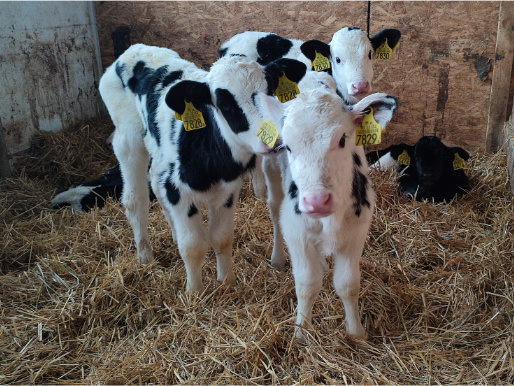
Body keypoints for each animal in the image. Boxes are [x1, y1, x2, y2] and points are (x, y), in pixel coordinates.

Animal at [99, 43, 306, 292]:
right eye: (225, 104)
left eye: (271, 92)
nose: (275, 141)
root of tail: (133, 49)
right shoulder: (177, 191)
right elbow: (193, 246)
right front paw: (194, 292)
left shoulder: (229, 190)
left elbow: (221, 238)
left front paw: (226, 283)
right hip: (128, 138)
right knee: (135, 199)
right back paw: (145, 256)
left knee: (154, 181)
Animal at [258, 76, 398, 340]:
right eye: (288, 146)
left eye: (342, 139)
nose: (316, 201)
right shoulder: (296, 232)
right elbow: (306, 284)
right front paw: (301, 332)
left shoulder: (356, 232)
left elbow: (348, 284)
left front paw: (356, 333)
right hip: (271, 177)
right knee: (274, 214)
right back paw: (278, 258)